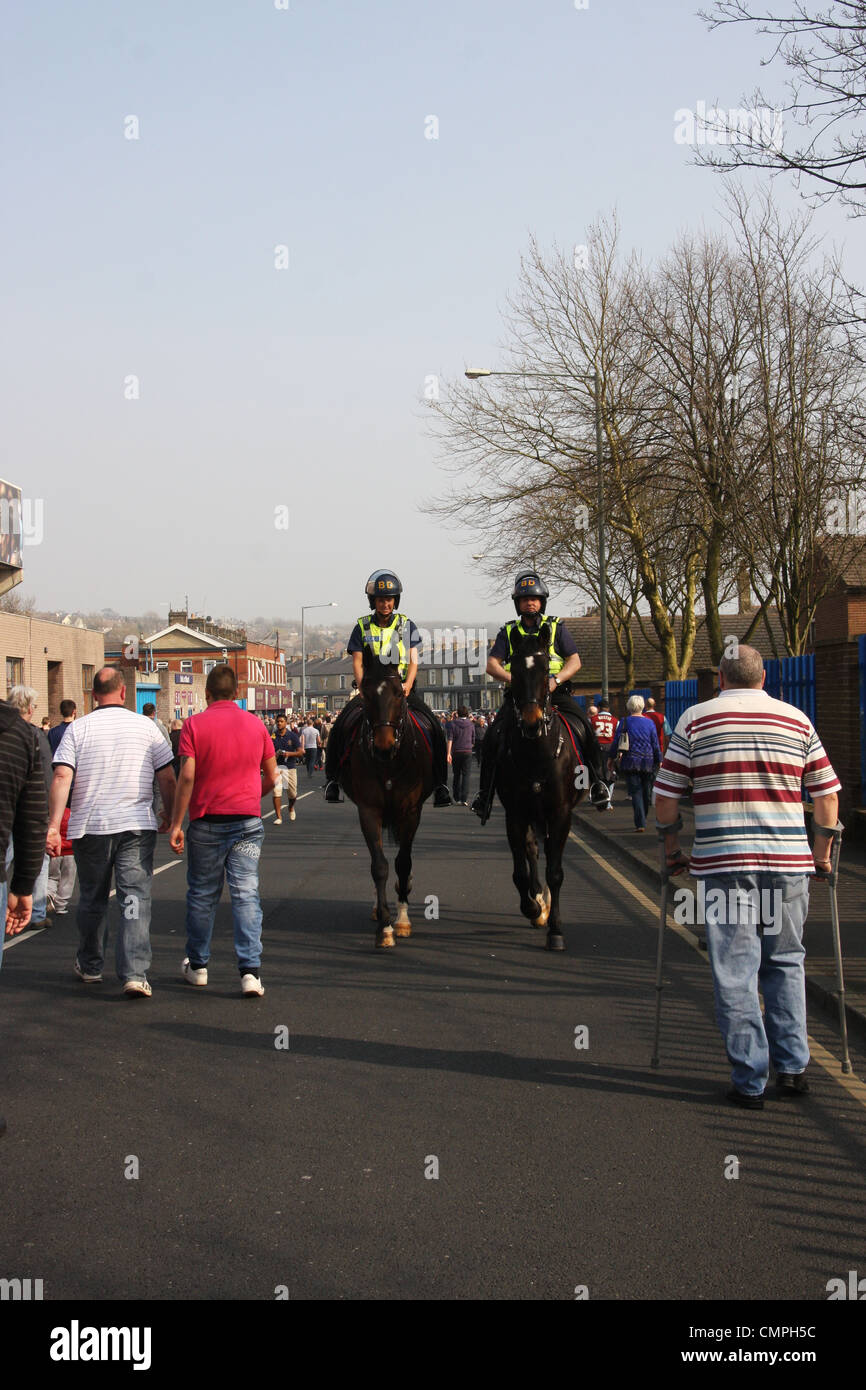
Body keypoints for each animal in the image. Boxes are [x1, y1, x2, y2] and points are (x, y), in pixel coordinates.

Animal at [337, 644, 433, 950]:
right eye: (366, 693)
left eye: (399, 693)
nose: (383, 746)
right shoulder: (369, 810)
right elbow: (379, 866)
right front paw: (385, 927)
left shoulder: (411, 811)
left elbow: (403, 862)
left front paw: (401, 920)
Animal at [497, 628, 586, 945]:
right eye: (515, 670)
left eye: (546, 668)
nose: (532, 723)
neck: (536, 752)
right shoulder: (515, 814)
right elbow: (520, 872)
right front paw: (533, 908)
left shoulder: (560, 814)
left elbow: (555, 872)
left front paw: (556, 930)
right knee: (533, 850)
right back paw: (538, 903)